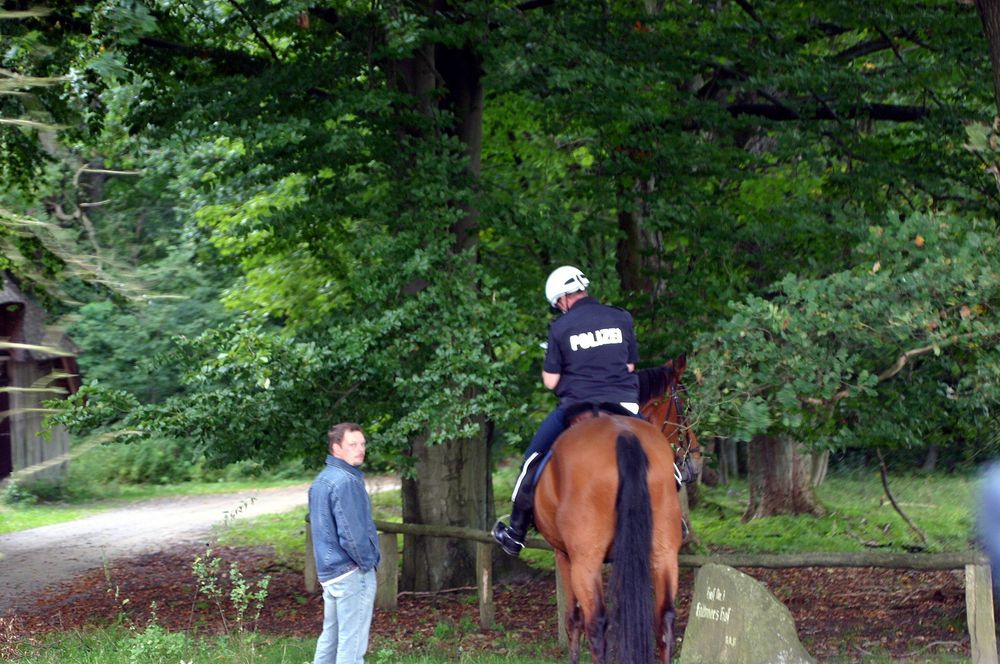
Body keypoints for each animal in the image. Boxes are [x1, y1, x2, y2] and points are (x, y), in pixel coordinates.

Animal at [536, 356, 700, 660]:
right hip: (663, 553)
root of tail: (622, 433)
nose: (696, 459)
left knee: (596, 624)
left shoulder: (563, 554)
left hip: (585, 561)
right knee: (665, 619)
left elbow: (573, 619)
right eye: (687, 407)